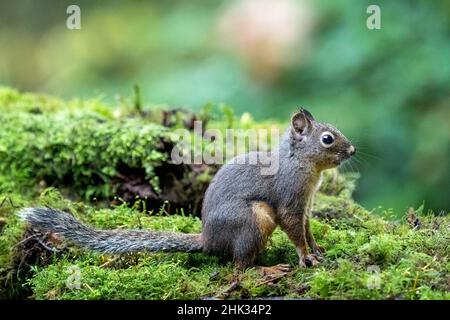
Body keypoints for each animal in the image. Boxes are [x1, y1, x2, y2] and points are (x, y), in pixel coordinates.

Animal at [18, 108, 356, 270]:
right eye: (327, 139)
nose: (352, 150)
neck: (301, 165)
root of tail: (208, 241)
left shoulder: (307, 205)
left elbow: (308, 230)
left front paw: (317, 250)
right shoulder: (289, 200)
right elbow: (295, 230)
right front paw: (305, 258)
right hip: (252, 221)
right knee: (239, 265)